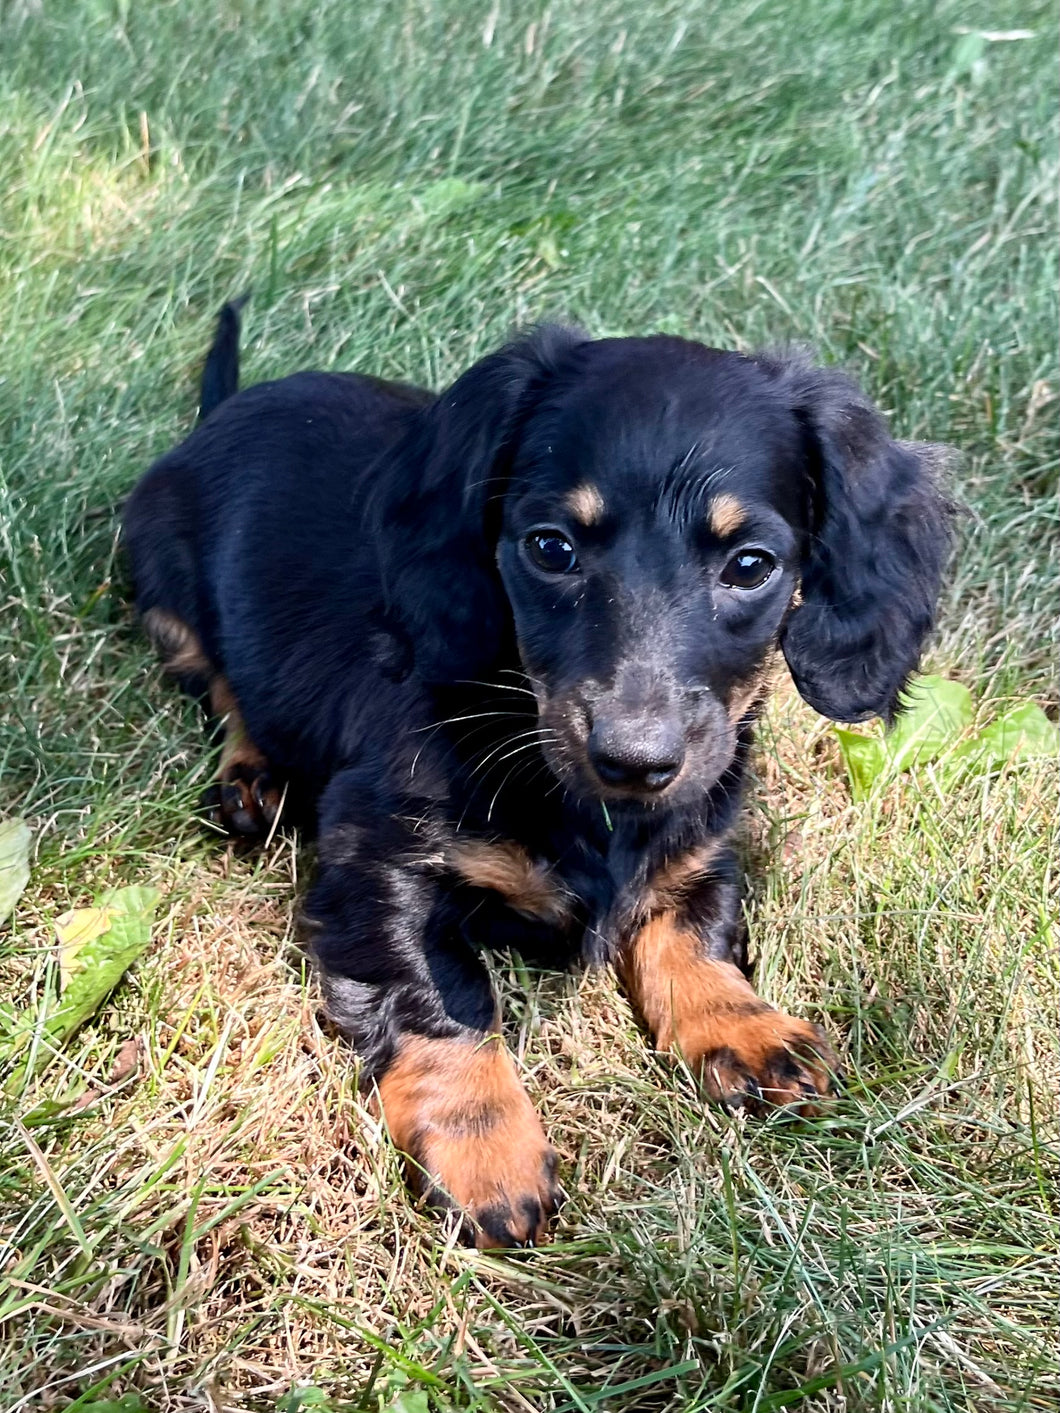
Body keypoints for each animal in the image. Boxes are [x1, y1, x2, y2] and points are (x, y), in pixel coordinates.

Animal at [124, 300, 955, 1249]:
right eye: (550, 548)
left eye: (751, 564)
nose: (636, 758)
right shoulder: (375, 854)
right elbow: (442, 995)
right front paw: (483, 1146)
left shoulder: (703, 833)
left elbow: (693, 927)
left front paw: (739, 1024)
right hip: (164, 589)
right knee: (222, 682)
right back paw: (252, 776)